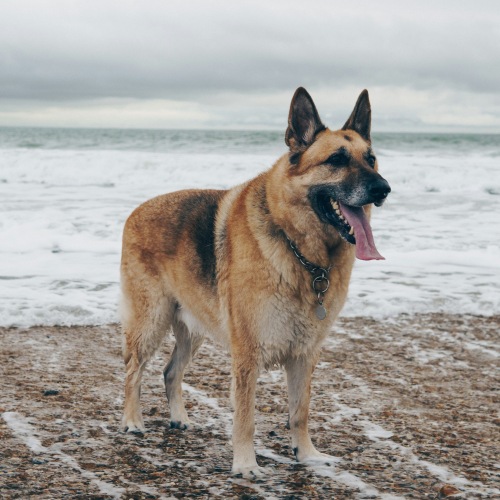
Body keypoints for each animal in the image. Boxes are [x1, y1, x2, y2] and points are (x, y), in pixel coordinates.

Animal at [120, 88, 390, 478]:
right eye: (337, 159)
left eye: (371, 159)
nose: (383, 189)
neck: (300, 251)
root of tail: (136, 210)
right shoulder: (247, 354)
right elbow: (246, 416)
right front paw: (246, 463)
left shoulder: (305, 355)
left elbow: (300, 411)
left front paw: (306, 454)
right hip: (150, 321)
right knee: (133, 371)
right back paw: (131, 420)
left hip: (193, 329)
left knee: (171, 372)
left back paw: (179, 418)